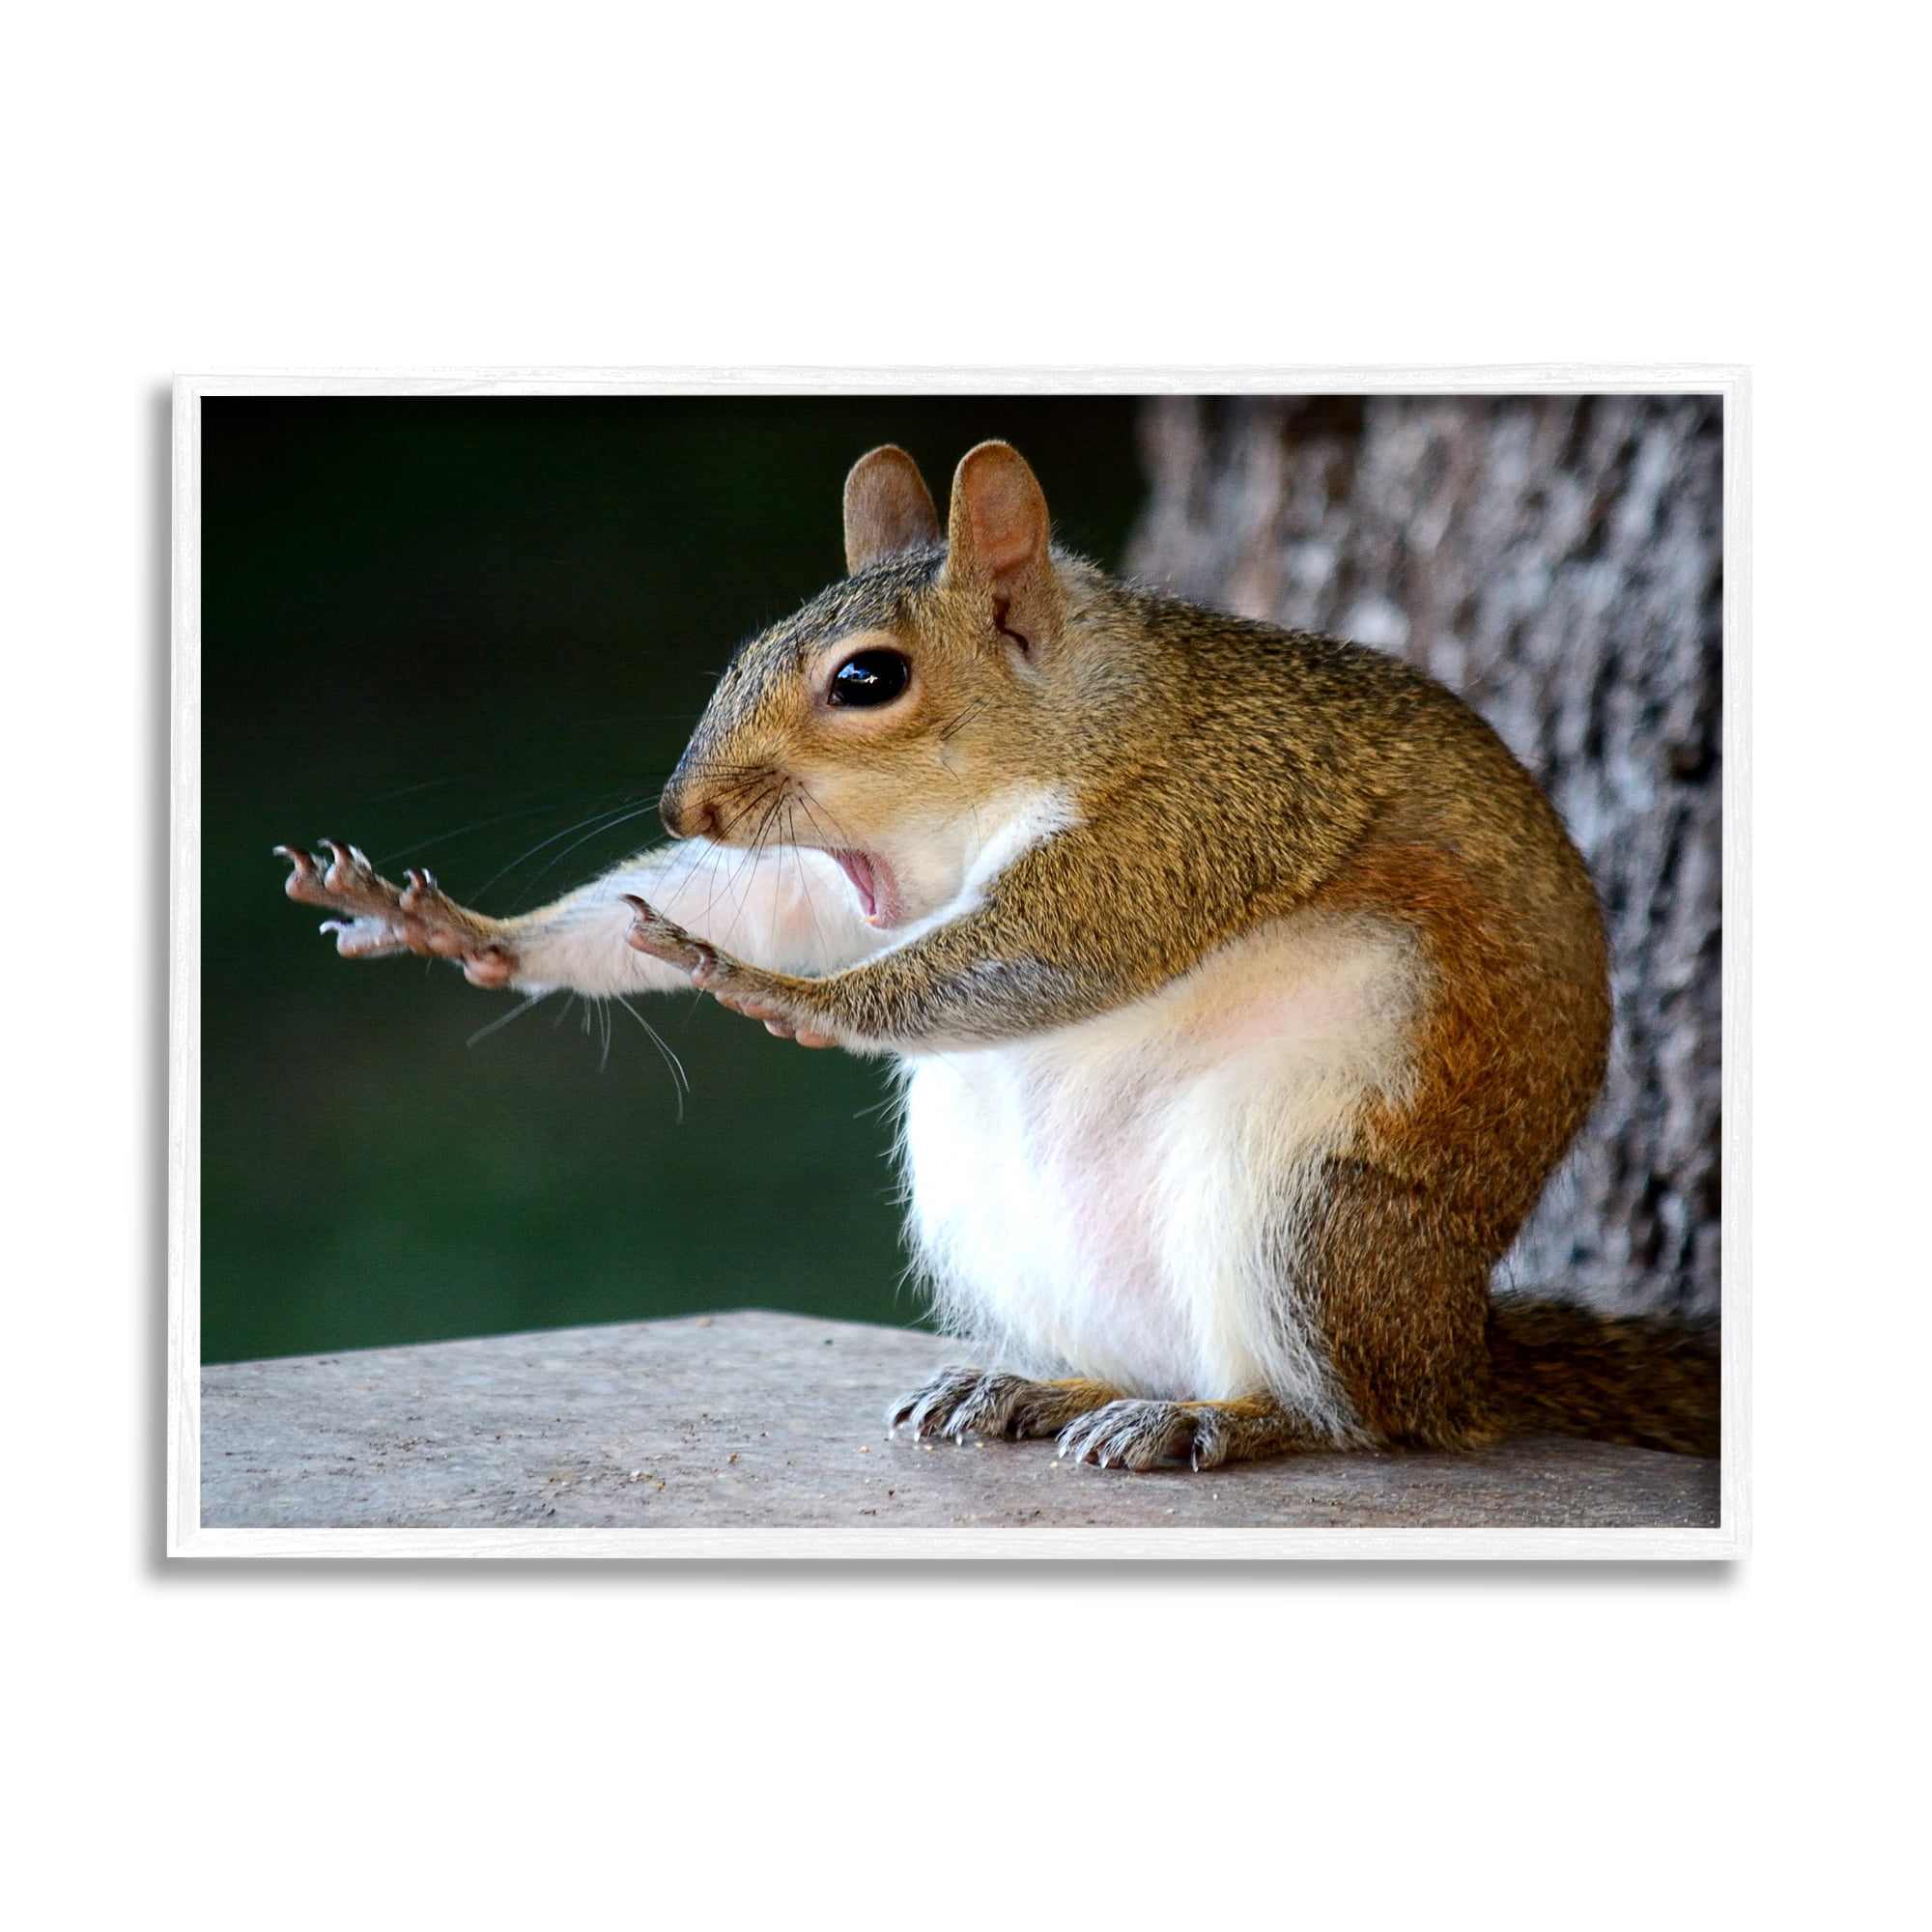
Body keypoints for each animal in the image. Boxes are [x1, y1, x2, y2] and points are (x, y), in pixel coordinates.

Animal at [278, 439, 1719, 1469]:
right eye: (750, 647)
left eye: (866, 679)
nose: (686, 811)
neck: (1080, 722)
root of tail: (1455, 1352)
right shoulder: (850, 876)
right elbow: (772, 902)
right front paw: (463, 930)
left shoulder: (1200, 814)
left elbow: (1048, 951)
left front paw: (777, 991)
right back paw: (1034, 1386)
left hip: (1311, 1210)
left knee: (1358, 1417)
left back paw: (1226, 1420)